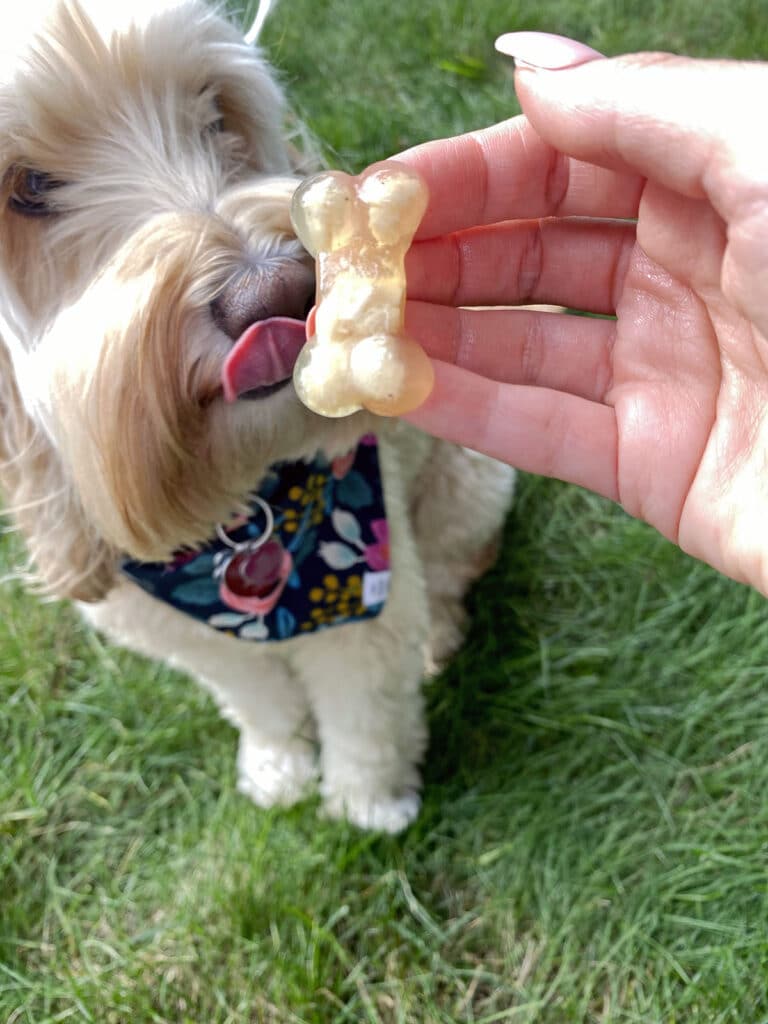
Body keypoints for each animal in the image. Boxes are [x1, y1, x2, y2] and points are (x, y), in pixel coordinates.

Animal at [0, 0, 518, 831]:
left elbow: (365, 715)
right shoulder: (192, 639)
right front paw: (279, 769)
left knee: (450, 574)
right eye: (29, 187)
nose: (274, 293)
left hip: (467, 489)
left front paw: (367, 804)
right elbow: (261, 704)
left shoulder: (366, 617)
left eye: (217, 113)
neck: (238, 511)